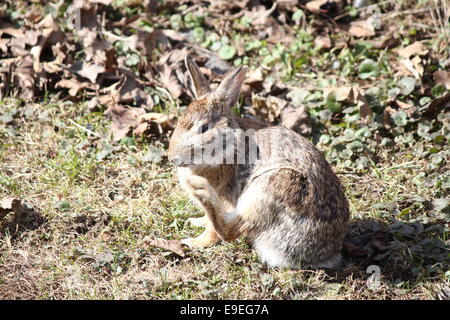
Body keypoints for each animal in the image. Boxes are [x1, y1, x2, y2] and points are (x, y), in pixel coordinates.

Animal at [167, 55, 350, 270]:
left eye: (203, 128)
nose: (172, 157)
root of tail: (325, 254)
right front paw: (196, 221)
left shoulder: (228, 199)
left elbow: (213, 233)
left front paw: (195, 242)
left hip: (274, 186)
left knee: (230, 230)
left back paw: (201, 193)